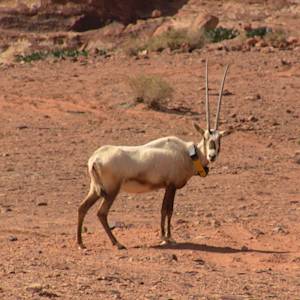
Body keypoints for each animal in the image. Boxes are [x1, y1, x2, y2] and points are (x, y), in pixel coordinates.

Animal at [77, 59, 230, 250]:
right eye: (205, 137)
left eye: (219, 139)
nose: (212, 156)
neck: (187, 153)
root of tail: (94, 159)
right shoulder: (171, 186)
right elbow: (167, 210)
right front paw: (167, 237)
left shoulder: (167, 186)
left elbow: (165, 209)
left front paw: (166, 236)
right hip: (112, 190)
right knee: (101, 213)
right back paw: (117, 243)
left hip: (95, 189)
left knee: (82, 208)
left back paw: (81, 244)